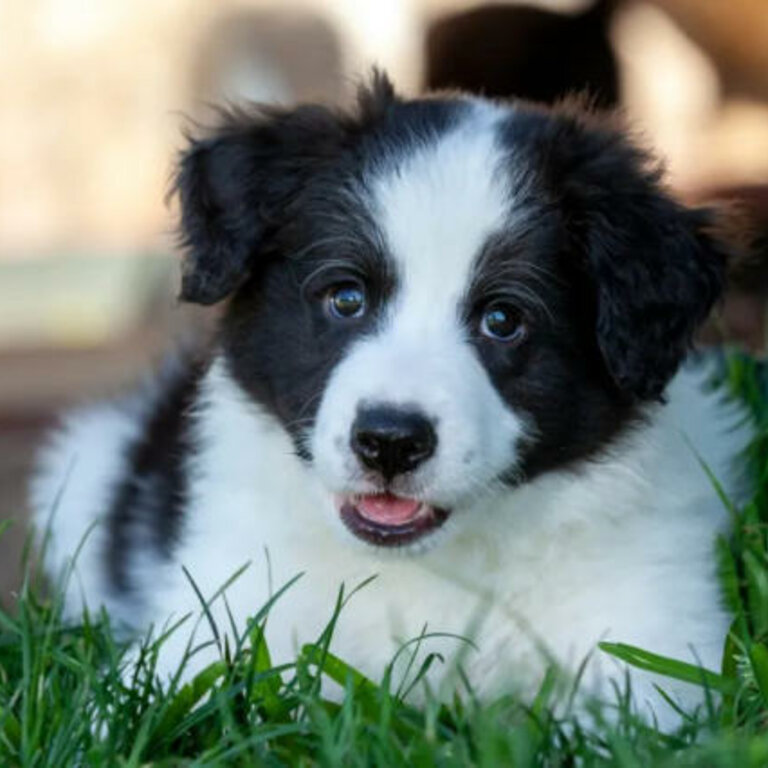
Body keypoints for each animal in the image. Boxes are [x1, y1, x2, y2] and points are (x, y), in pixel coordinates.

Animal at [31, 72, 752, 728]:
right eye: (346, 297)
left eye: (503, 319)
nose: (389, 442)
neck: (435, 567)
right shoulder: (216, 613)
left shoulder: (654, 642)